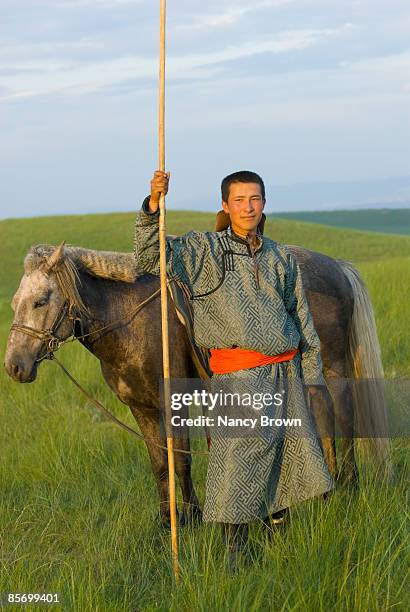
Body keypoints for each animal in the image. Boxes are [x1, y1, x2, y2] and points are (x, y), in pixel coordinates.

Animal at [4, 244, 390, 524]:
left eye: (41, 300)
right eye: (14, 302)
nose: (14, 366)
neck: (129, 319)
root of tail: (336, 266)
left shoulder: (174, 400)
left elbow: (180, 460)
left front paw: (191, 518)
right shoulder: (142, 408)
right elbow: (160, 463)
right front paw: (167, 522)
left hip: (334, 367)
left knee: (342, 416)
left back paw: (348, 485)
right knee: (323, 416)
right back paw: (328, 489)